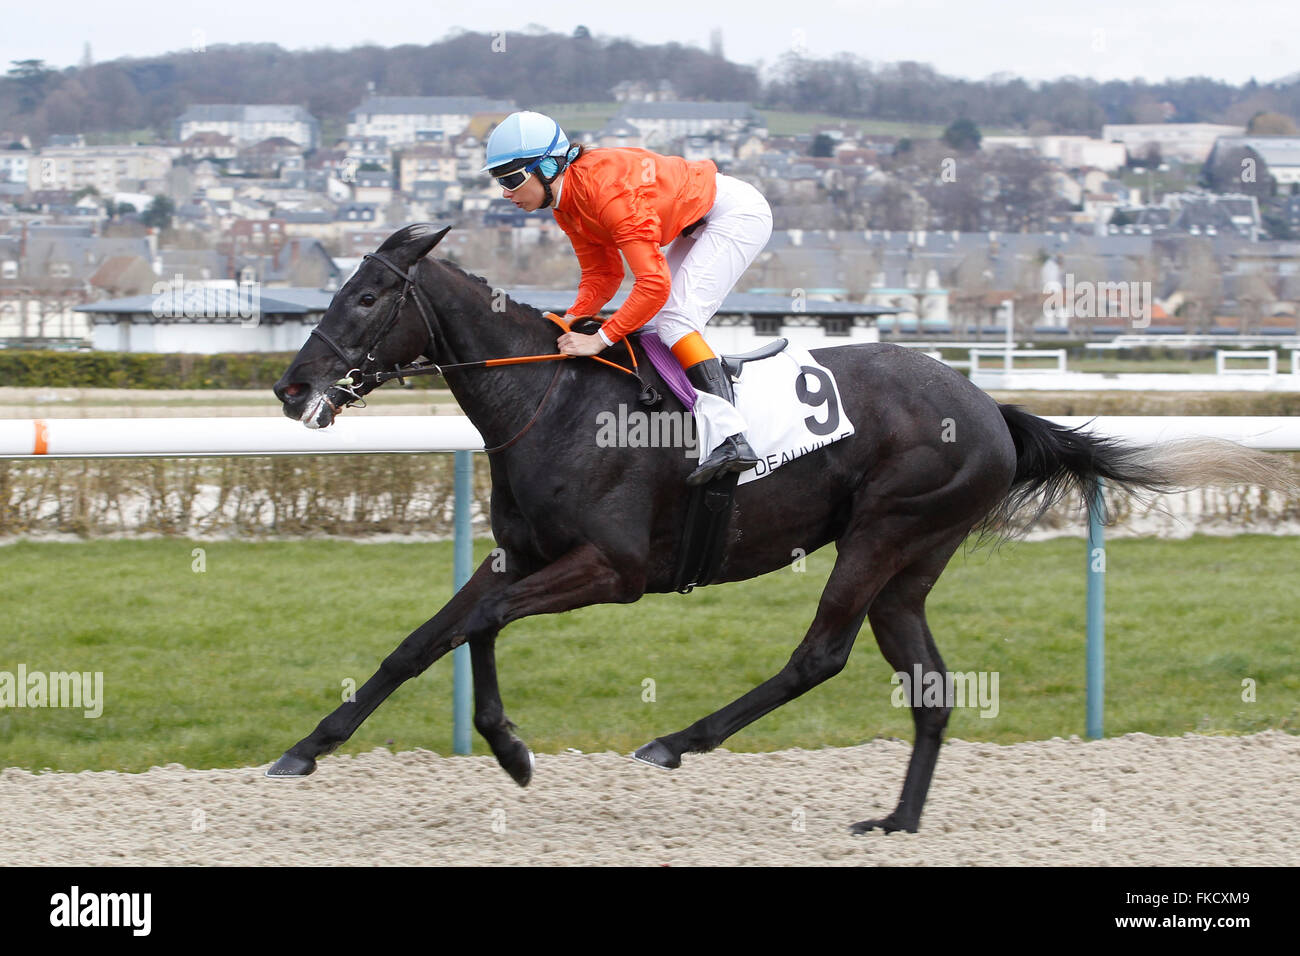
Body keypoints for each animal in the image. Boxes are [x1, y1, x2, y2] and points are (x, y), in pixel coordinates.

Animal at [269, 222, 1284, 832]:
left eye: (367, 299)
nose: (289, 385)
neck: (548, 401)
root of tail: (989, 406)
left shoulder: (611, 569)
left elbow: (478, 623)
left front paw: (511, 749)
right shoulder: (522, 555)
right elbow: (428, 638)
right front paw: (305, 750)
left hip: (883, 532)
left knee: (820, 656)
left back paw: (678, 740)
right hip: (911, 565)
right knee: (930, 686)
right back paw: (898, 822)